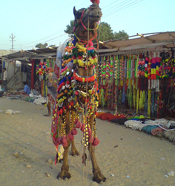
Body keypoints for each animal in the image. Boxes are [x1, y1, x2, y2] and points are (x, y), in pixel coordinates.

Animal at [50, 0, 105, 183]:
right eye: (78, 12)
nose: (96, 10)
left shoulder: (91, 108)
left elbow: (91, 141)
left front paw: (98, 173)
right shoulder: (66, 105)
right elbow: (66, 136)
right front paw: (64, 171)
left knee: (73, 126)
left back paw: (74, 151)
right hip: (60, 102)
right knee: (63, 129)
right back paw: (60, 155)